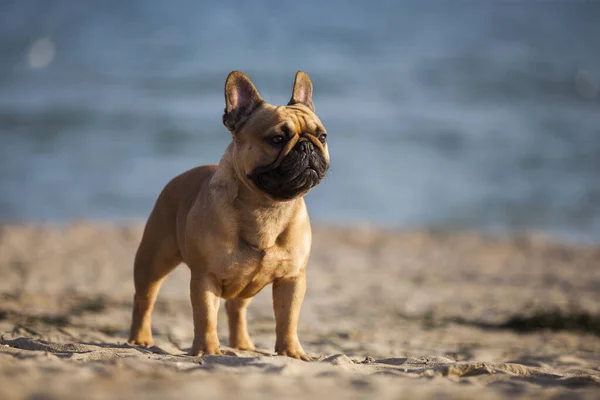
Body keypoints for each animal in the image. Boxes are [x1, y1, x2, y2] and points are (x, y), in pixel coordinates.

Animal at [128, 69, 330, 360]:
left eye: (322, 136)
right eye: (277, 139)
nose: (307, 146)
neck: (267, 206)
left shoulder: (292, 279)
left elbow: (288, 318)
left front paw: (291, 352)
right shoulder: (205, 277)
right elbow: (205, 317)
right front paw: (207, 351)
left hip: (245, 284)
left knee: (237, 309)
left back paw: (242, 344)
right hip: (154, 259)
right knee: (144, 299)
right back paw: (140, 339)